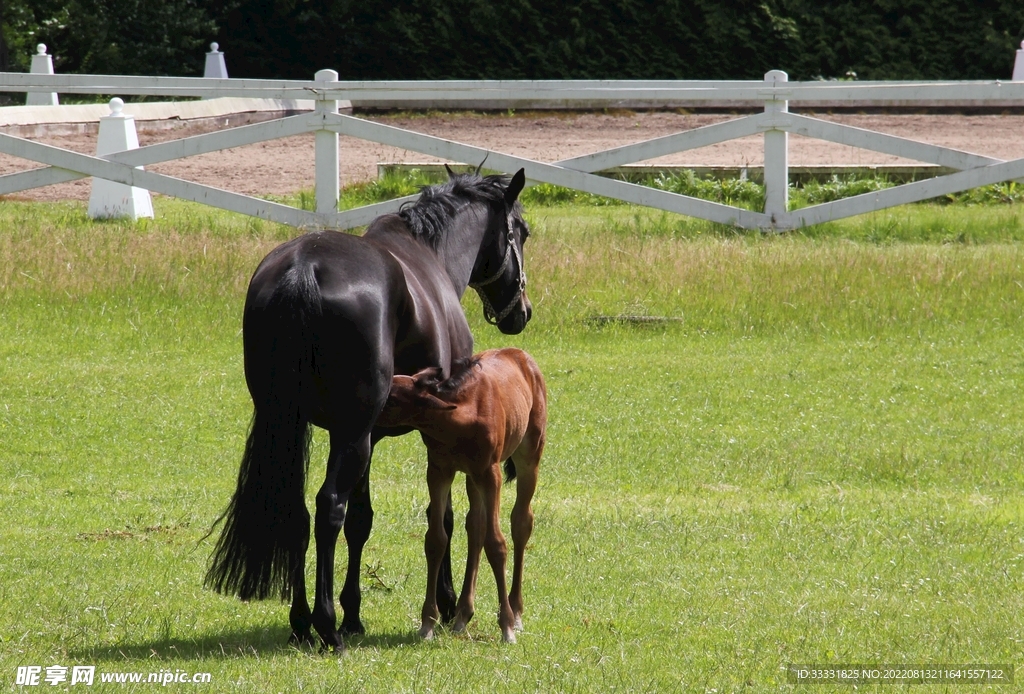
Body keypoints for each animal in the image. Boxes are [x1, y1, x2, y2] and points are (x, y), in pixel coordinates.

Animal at [376, 348, 546, 643]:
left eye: (394, 399)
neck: (461, 420)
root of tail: (521, 354)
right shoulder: (439, 470)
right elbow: (436, 540)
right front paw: (427, 623)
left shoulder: (491, 473)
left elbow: (497, 543)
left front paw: (506, 626)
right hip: (471, 478)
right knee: (475, 527)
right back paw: (462, 616)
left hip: (529, 455)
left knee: (521, 522)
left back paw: (516, 612)